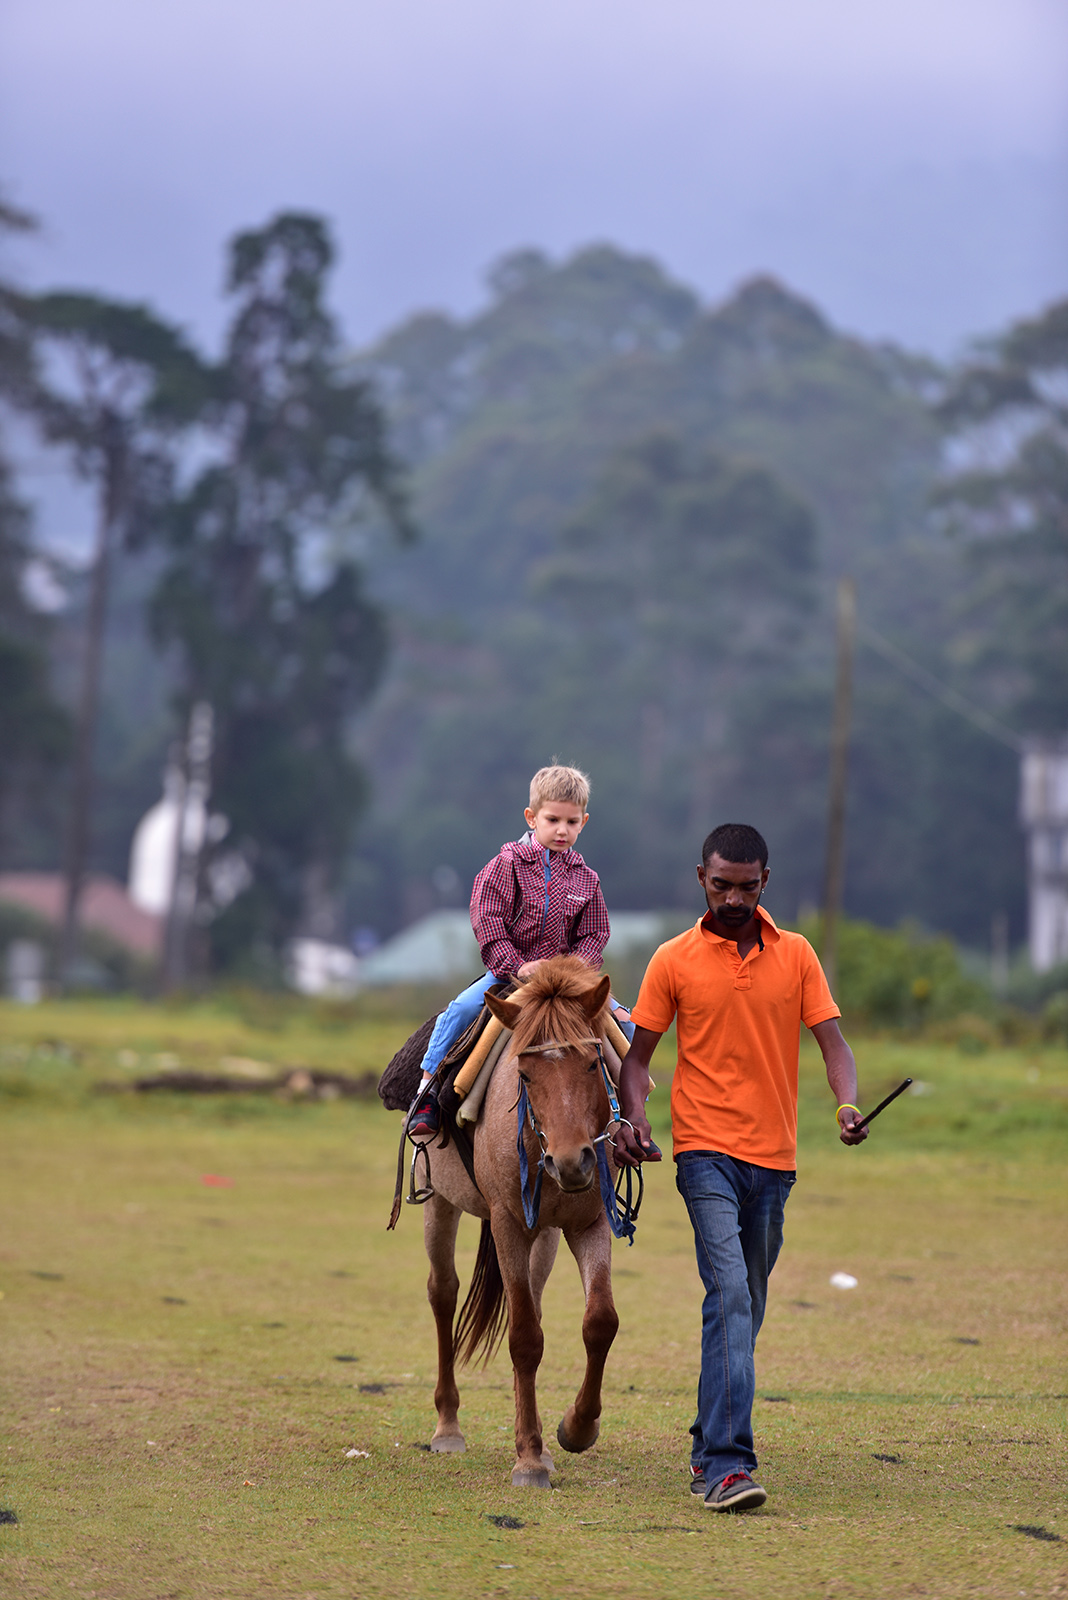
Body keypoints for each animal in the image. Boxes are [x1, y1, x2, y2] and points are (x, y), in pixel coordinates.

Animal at [415, 947, 620, 1484]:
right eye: (525, 1076)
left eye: (594, 1063)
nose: (571, 1162)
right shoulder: (508, 1222)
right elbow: (525, 1337)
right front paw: (528, 1457)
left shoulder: (589, 1223)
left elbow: (599, 1322)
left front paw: (574, 1429)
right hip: (441, 1203)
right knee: (443, 1293)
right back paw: (448, 1427)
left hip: (543, 1233)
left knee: (532, 1300)